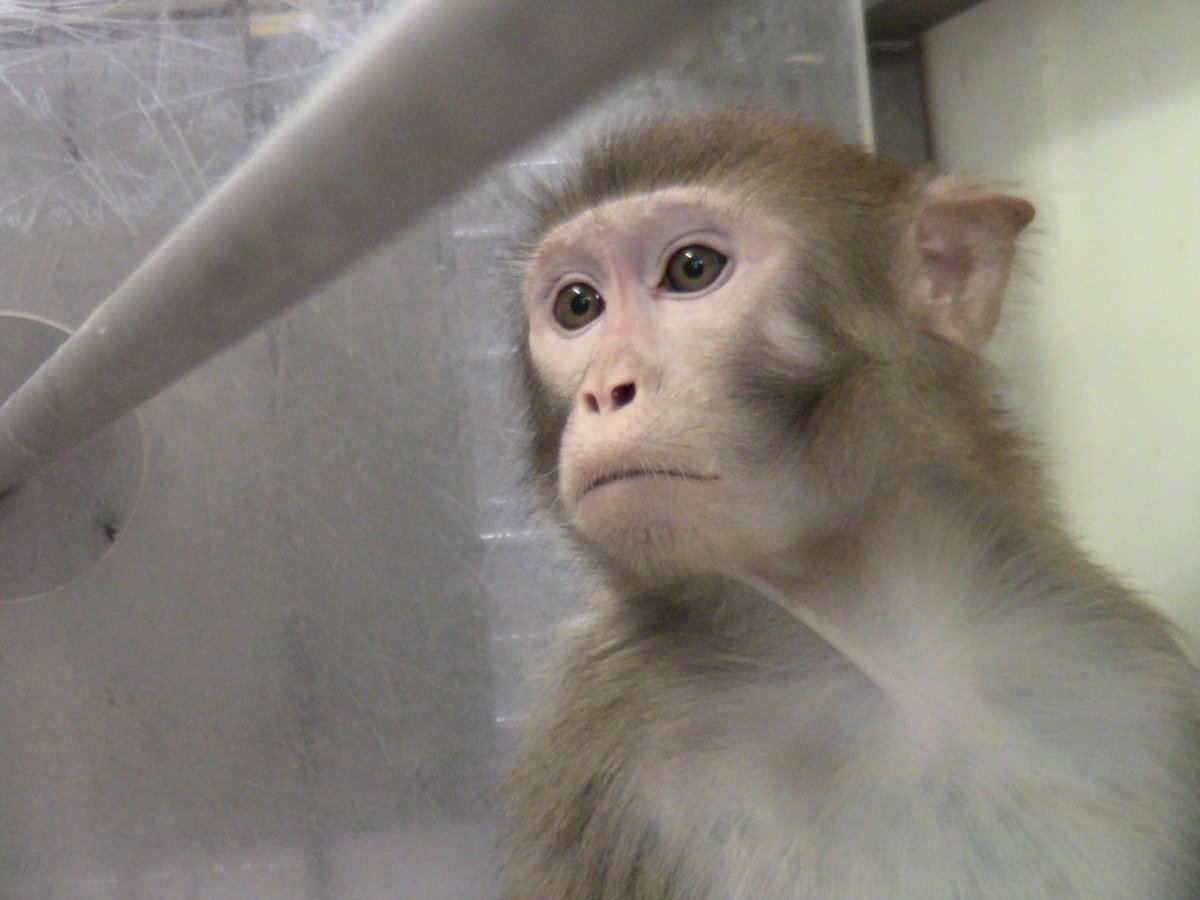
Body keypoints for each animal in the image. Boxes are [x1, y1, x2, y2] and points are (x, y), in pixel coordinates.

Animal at [501, 109, 1200, 898]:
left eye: (692, 269)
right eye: (578, 306)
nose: (604, 390)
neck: (891, 651)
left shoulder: (1123, 667)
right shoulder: (602, 735)